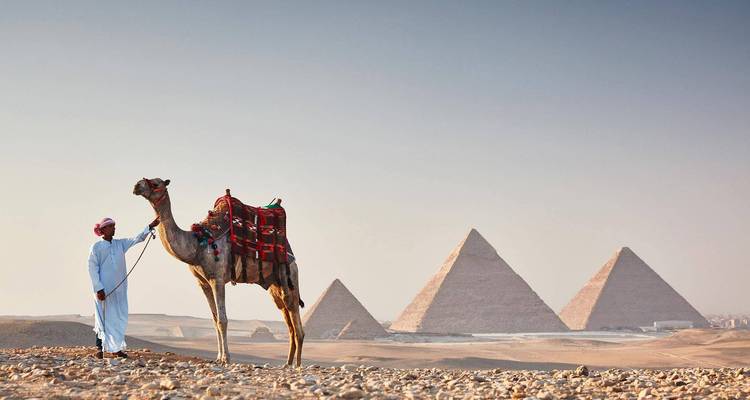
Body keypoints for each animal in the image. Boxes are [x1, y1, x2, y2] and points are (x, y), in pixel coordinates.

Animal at [133, 178, 305, 366]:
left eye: (156, 183)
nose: (136, 186)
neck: (196, 245)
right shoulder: (203, 282)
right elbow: (215, 320)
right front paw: (218, 357)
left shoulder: (218, 278)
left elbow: (223, 320)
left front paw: (226, 358)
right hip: (274, 284)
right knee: (287, 318)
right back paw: (287, 363)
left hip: (289, 274)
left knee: (295, 316)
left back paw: (297, 365)